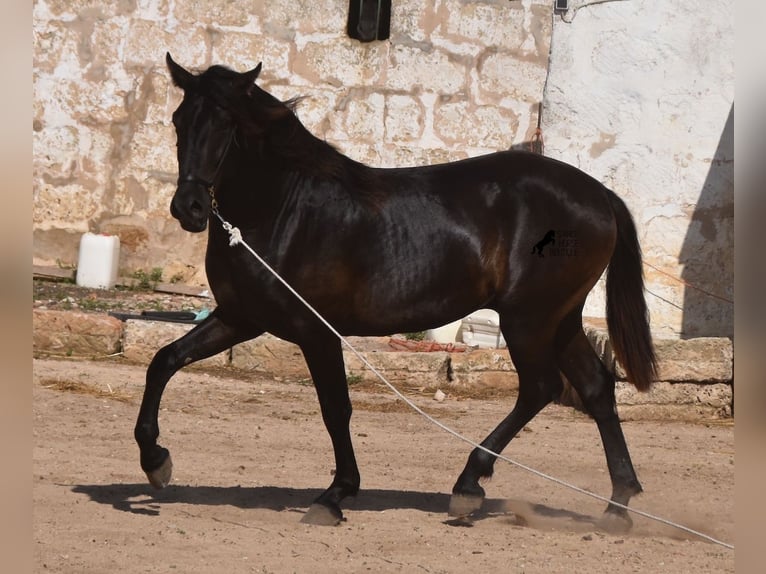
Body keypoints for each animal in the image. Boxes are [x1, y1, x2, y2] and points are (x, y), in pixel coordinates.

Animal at [134, 54, 660, 532]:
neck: (285, 209)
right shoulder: (240, 317)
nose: (189, 207)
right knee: (595, 388)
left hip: (528, 319)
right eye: (180, 120)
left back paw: (469, 486)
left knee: (542, 387)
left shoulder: (315, 331)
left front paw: (335, 496)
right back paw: (617, 506)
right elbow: (164, 360)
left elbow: (336, 409)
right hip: (561, 320)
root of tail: (599, 195)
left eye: (228, 125)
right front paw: (156, 461)